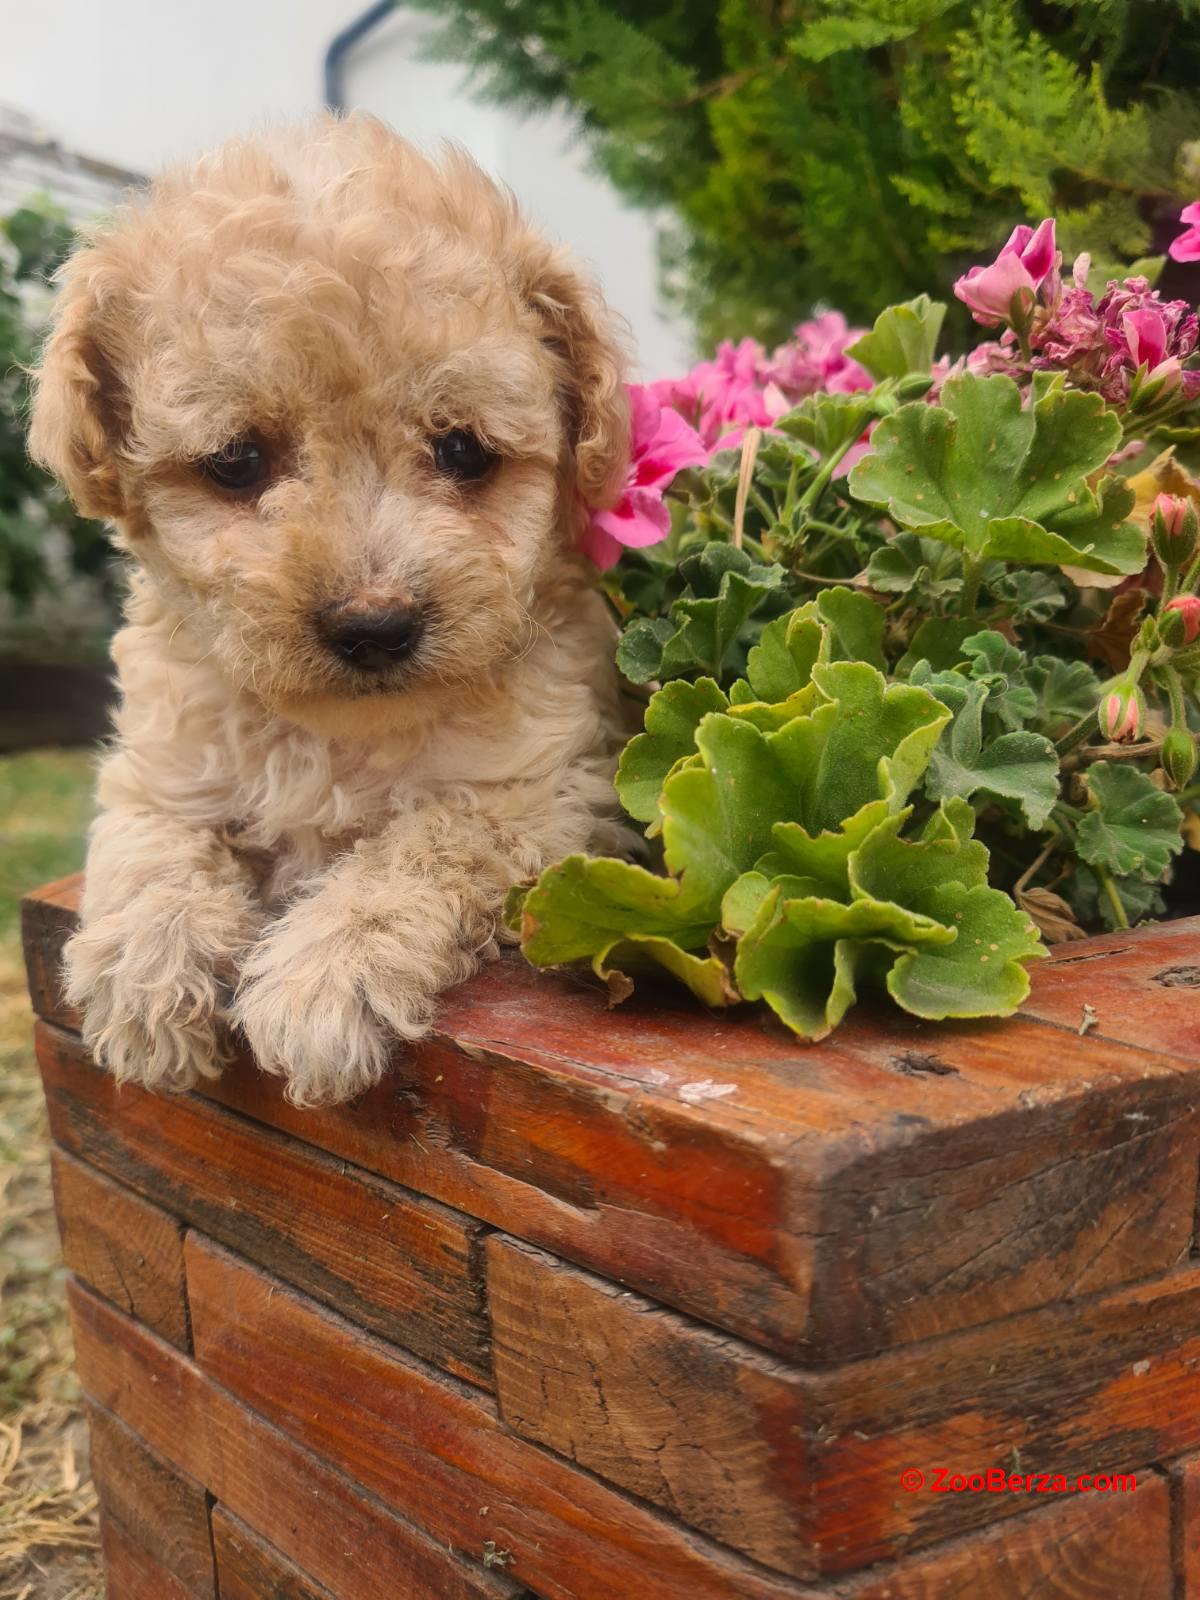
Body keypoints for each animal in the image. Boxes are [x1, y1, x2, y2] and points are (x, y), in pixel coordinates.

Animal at [28, 116, 633, 1100]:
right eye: (236, 461)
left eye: (463, 451)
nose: (375, 624)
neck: (335, 734)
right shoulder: (161, 758)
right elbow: (148, 841)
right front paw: (146, 971)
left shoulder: (548, 789)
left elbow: (423, 842)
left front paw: (326, 978)